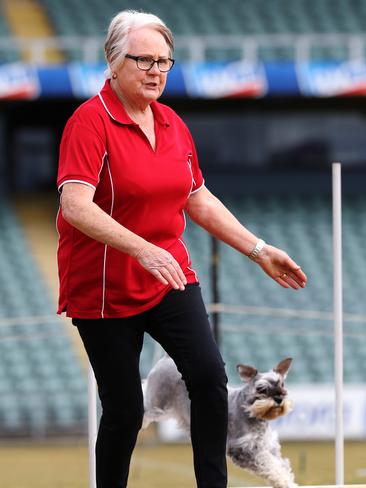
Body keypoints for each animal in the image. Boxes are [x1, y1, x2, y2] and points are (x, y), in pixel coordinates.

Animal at [144, 354, 298, 488]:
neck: (248, 410)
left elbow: (280, 465)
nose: (279, 399)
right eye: (261, 389)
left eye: (282, 384)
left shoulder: (269, 446)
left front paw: (288, 482)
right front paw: (283, 482)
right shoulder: (244, 449)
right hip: (156, 403)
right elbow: (269, 464)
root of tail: (167, 359)